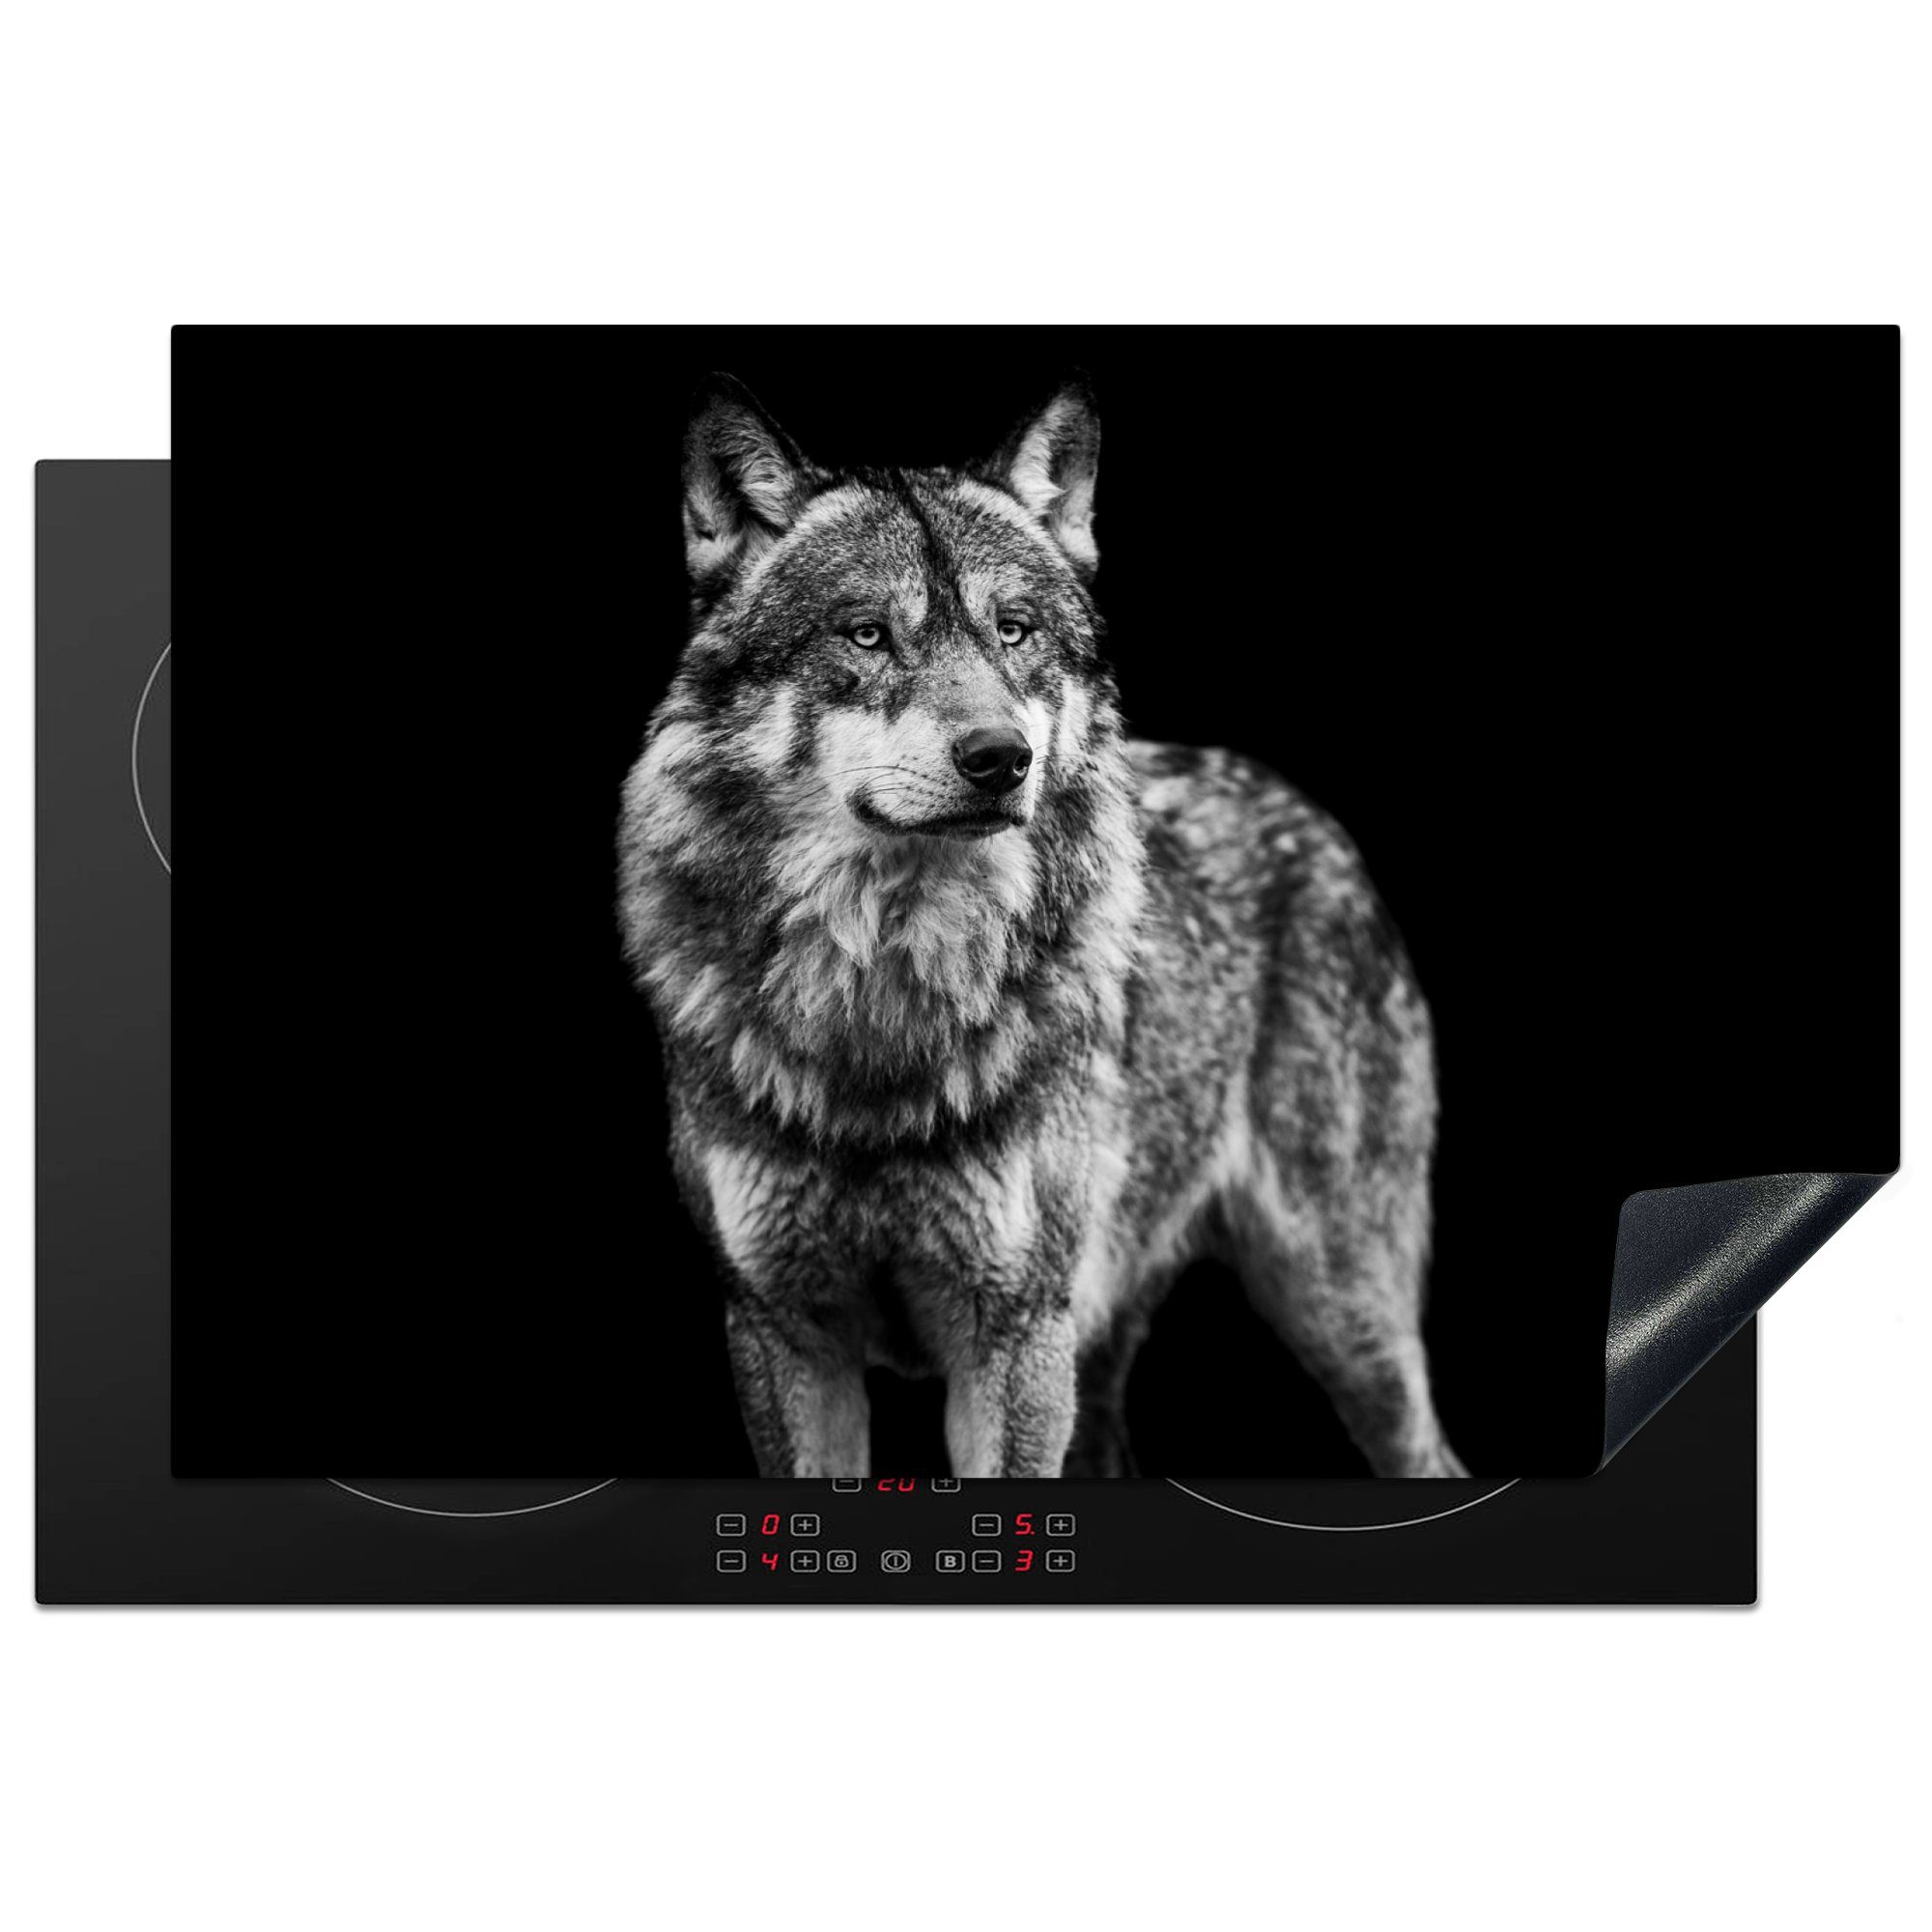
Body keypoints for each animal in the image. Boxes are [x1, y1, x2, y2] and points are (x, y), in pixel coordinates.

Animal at [618, 374, 1465, 1480]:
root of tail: (1311, 816)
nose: (999, 758)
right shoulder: (780, 1333)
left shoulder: (1012, 1333)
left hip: (1337, 1310)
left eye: (1012, 631)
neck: (887, 997)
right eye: (866, 634)